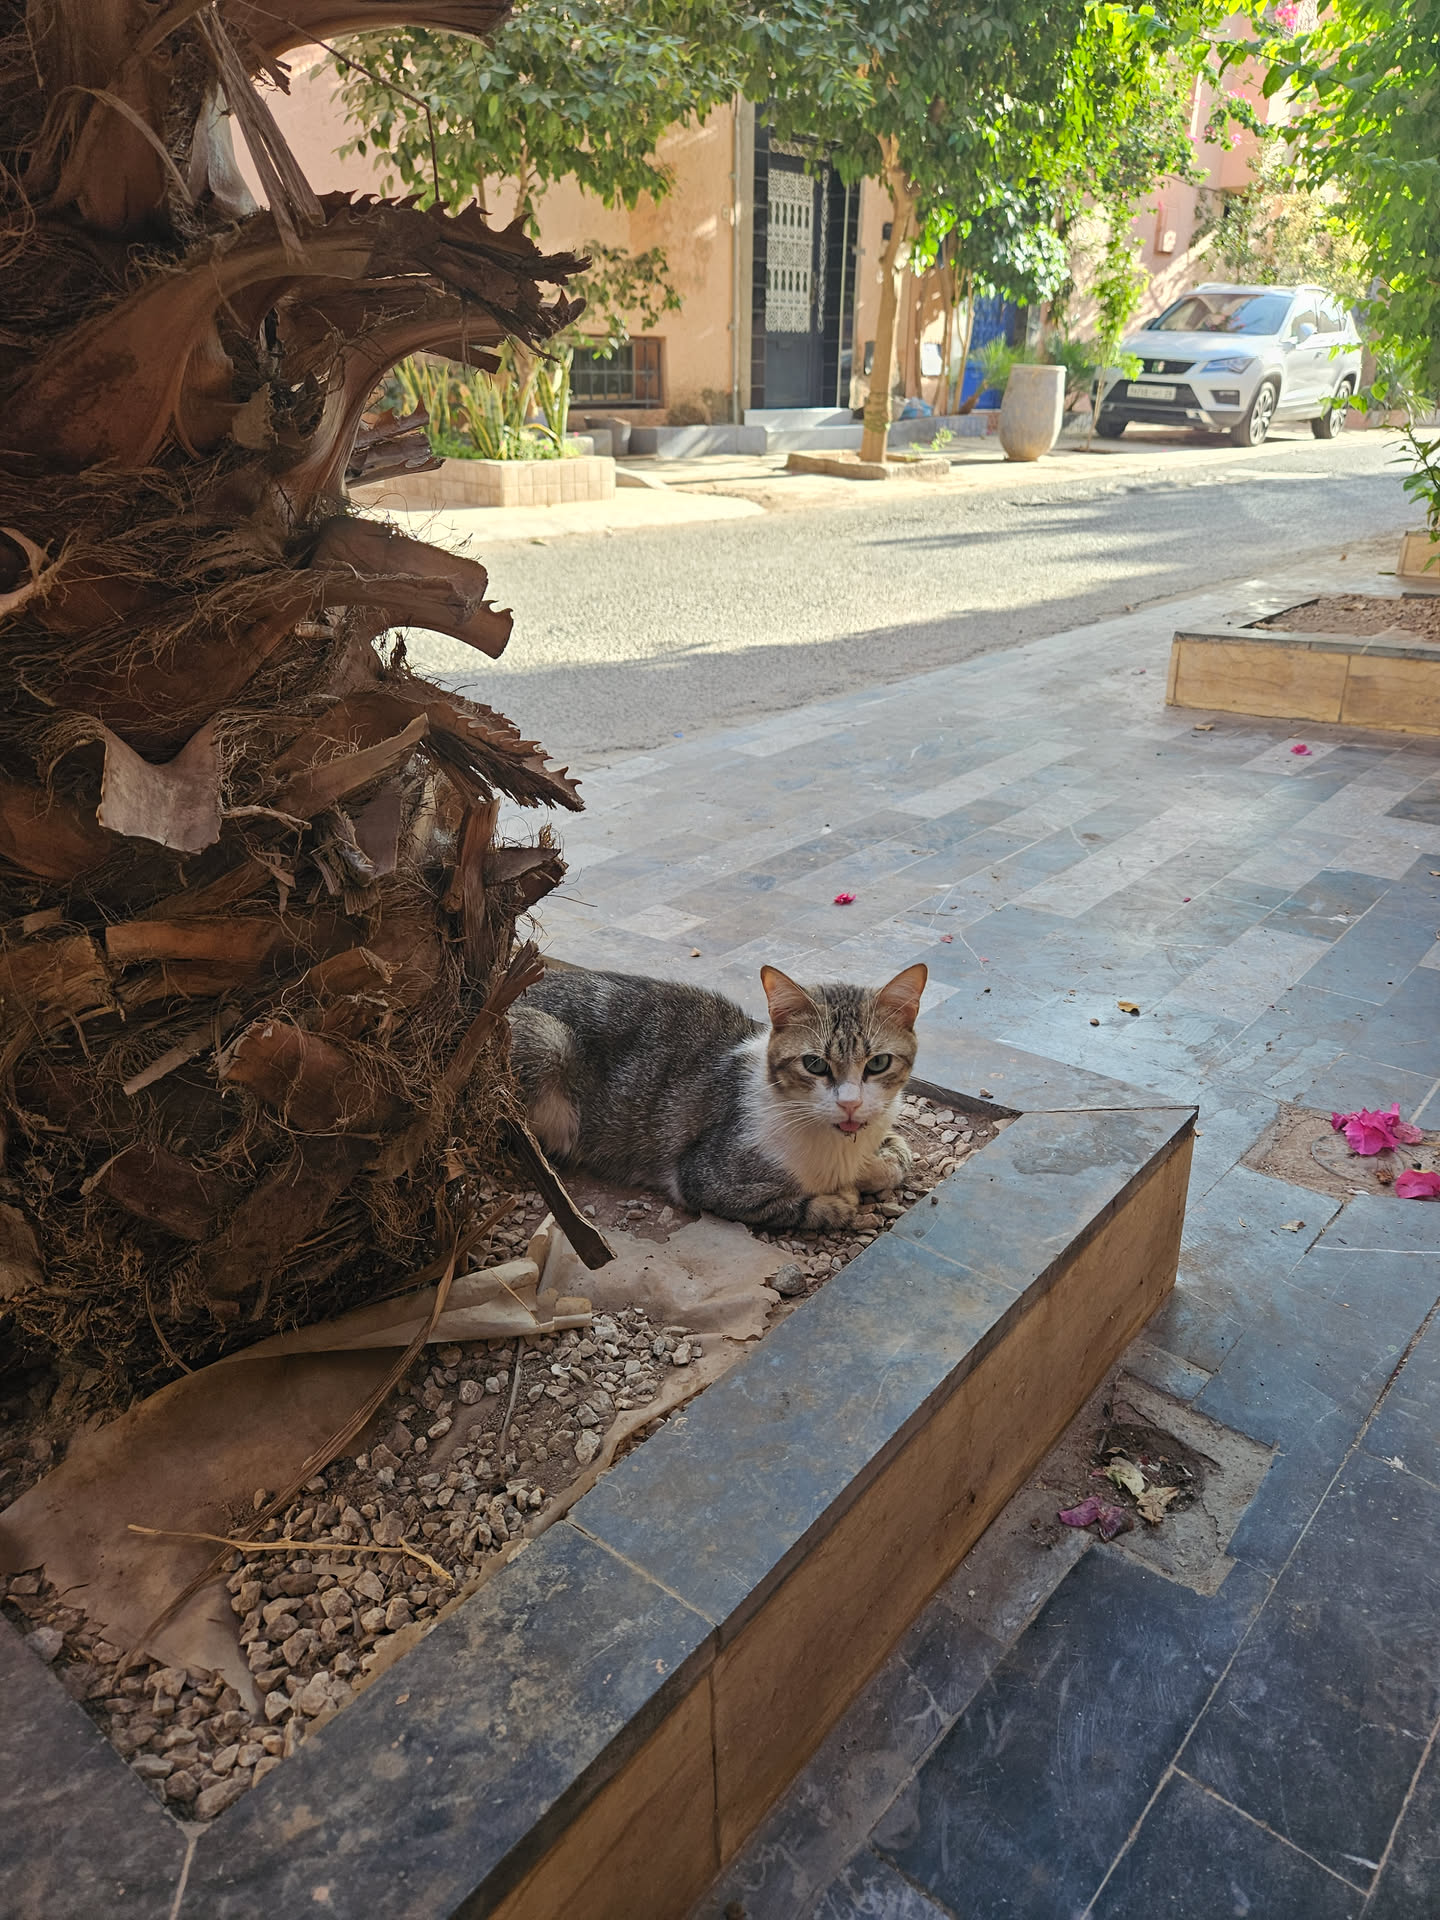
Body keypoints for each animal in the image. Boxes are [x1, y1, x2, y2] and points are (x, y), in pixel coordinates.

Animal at [508, 961, 927, 1231]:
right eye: (815, 1064)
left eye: (878, 1064)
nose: (850, 1103)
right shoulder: (701, 1177)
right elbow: (796, 1207)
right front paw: (840, 1200)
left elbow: (898, 1157)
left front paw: (873, 1167)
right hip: (547, 1041)